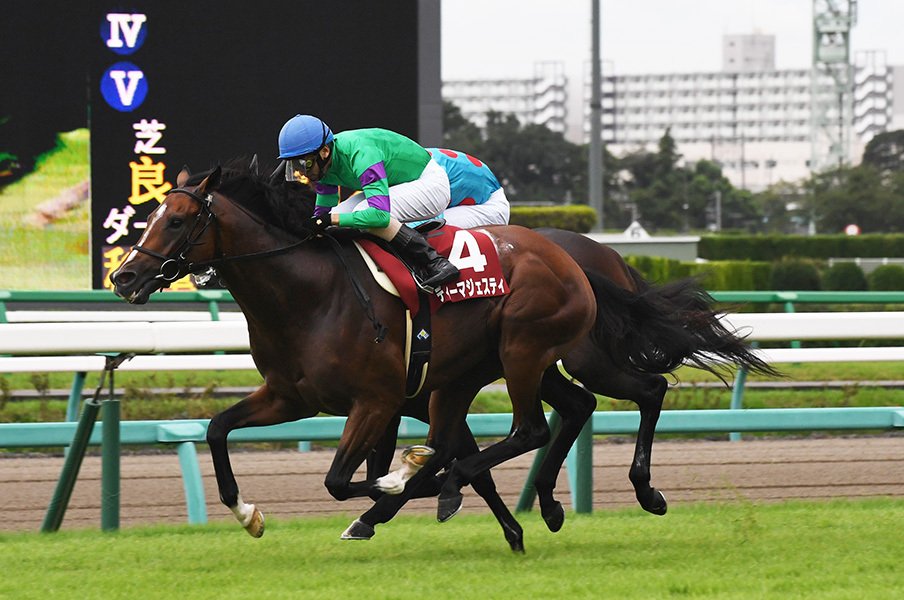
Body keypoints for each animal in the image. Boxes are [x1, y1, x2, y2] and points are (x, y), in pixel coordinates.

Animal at [111, 164, 600, 548]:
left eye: (177, 221)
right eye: (151, 216)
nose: (123, 276)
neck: (309, 296)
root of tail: (564, 254)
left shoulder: (377, 401)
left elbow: (341, 480)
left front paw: (404, 480)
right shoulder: (290, 397)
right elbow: (217, 429)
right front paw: (247, 514)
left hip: (522, 350)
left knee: (529, 430)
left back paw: (449, 488)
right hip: (480, 370)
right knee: (573, 406)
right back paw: (538, 506)